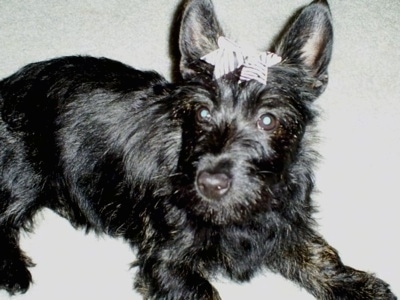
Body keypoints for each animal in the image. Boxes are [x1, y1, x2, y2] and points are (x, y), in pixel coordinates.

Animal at [0, 0, 396, 298]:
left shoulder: (284, 224)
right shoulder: (167, 262)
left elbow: (320, 255)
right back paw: (13, 270)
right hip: (27, 170)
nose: (209, 183)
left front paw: (361, 286)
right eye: (203, 113)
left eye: (268, 120)